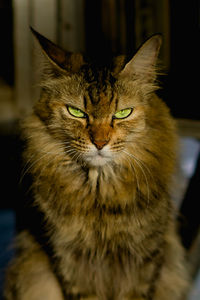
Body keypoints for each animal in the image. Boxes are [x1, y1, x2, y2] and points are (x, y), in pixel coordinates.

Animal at [4, 28, 189, 300]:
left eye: (122, 113)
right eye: (76, 112)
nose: (100, 143)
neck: (99, 193)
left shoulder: (145, 257)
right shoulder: (68, 259)